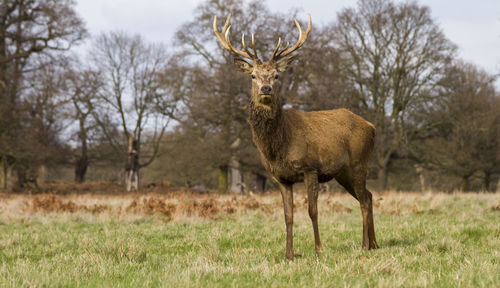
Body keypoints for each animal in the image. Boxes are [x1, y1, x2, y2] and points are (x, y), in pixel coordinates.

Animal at [212, 14, 378, 260]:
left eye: (276, 75)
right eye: (253, 75)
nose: (266, 88)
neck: (279, 145)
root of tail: (371, 126)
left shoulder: (311, 168)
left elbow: (312, 211)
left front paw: (319, 249)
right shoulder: (281, 177)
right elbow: (287, 215)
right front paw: (288, 254)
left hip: (359, 162)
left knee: (365, 200)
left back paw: (365, 245)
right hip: (343, 172)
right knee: (368, 195)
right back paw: (374, 243)